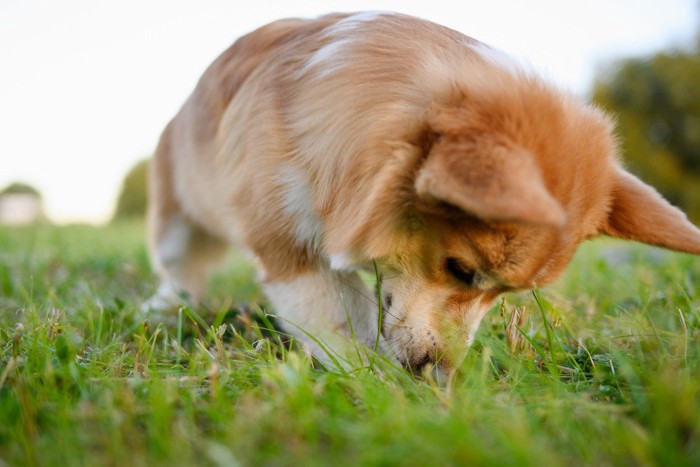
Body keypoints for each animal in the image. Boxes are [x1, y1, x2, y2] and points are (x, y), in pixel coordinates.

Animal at [142, 11, 700, 372]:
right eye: (460, 269)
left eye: (504, 294)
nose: (440, 371)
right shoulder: (288, 247)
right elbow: (337, 320)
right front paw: (377, 384)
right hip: (175, 212)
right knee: (177, 267)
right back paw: (164, 307)